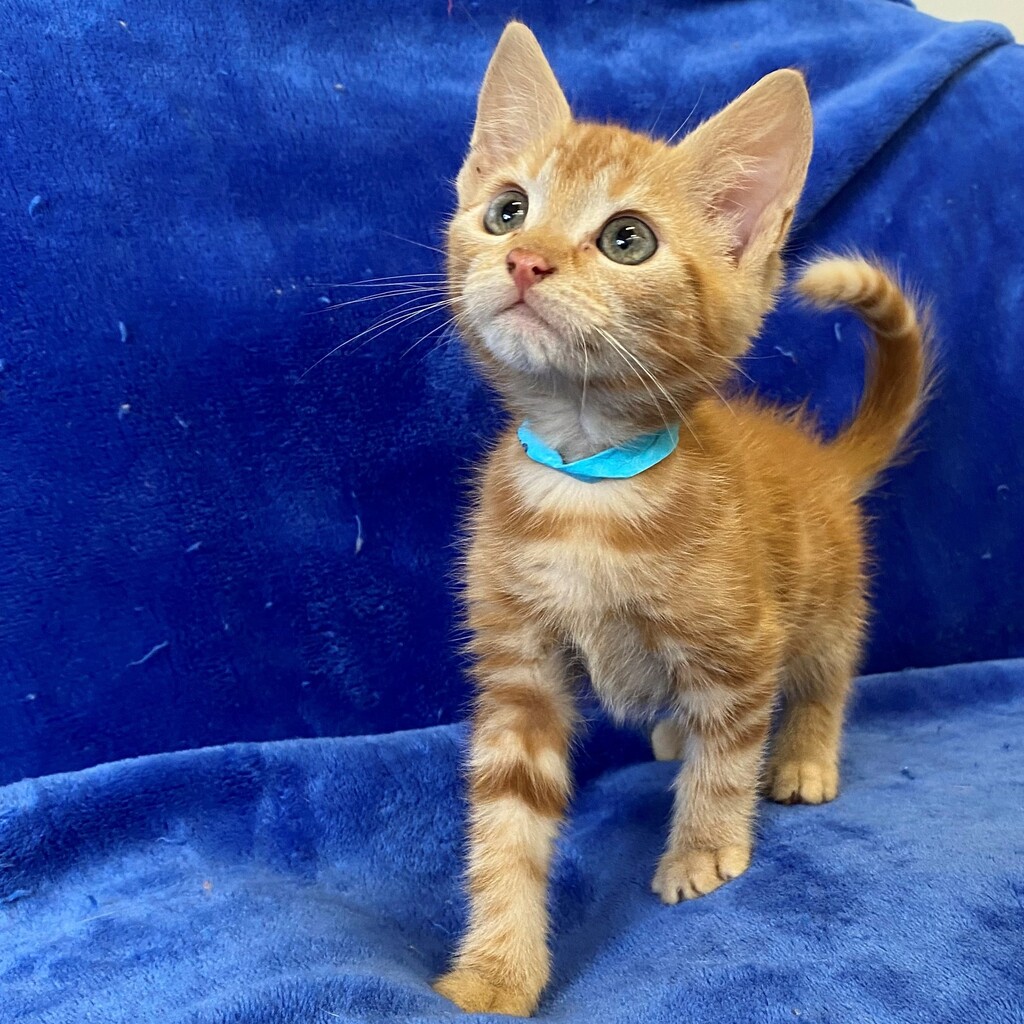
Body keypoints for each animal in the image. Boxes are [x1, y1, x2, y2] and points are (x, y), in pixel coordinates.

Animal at [433, 22, 929, 1017]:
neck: (588, 483)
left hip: (826, 599)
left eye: (628, 240)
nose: (525, 258)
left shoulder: (742, 647)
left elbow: (727, 758)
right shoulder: (519, 665)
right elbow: (507, 818)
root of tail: (820, 463)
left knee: (825, 675)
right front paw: (495, 970)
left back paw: (804, 755)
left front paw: (703, 849)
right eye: (507, 210)